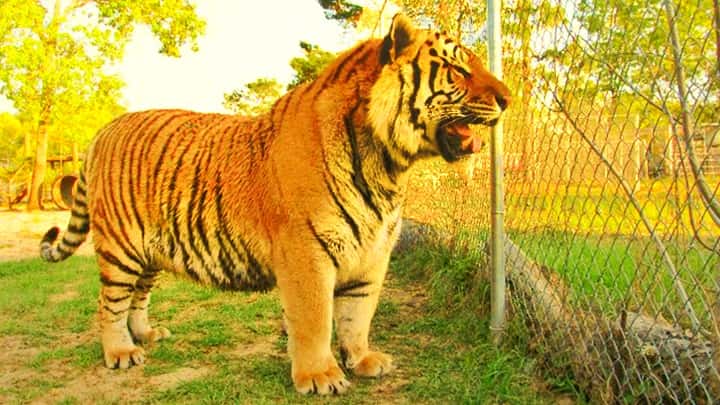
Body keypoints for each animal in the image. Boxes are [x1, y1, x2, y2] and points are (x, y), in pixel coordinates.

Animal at [40, 14, 512, 392]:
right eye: (457, 69)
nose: (508, 99)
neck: (389, 165)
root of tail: (104, 129)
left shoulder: (373, 254)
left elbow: (358, 313)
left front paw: (362, 360)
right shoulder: (306, 252)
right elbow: (315, 320)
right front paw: (320, 377)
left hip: (150, 251)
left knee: (138, 297)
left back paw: (147, 335)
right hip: (121, 249)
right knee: (109, 304)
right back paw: (121, 352)